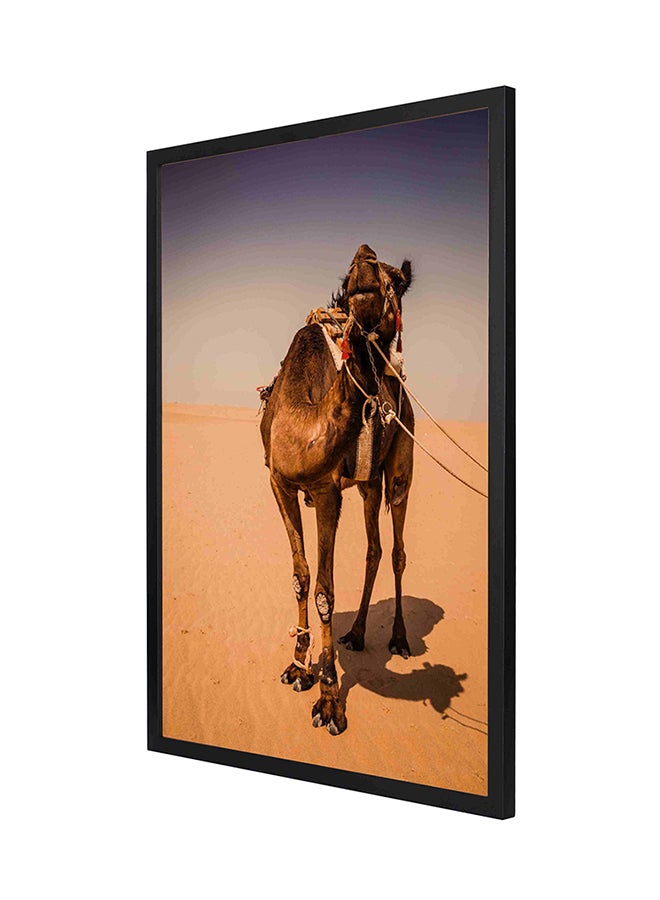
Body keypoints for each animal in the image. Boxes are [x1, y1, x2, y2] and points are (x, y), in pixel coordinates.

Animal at [260, 244, 414, 735]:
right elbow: (301, 576)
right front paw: (298, 667)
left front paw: (328, 699)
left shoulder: (328, 491)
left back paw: (399, 639)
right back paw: (358, 633)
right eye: (350, 278)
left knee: (397, 549)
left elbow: (326, 590)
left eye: (397, 280)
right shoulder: (280, 483)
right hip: (366, 485)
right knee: (374, 548)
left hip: (401, 465)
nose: (365, 258)